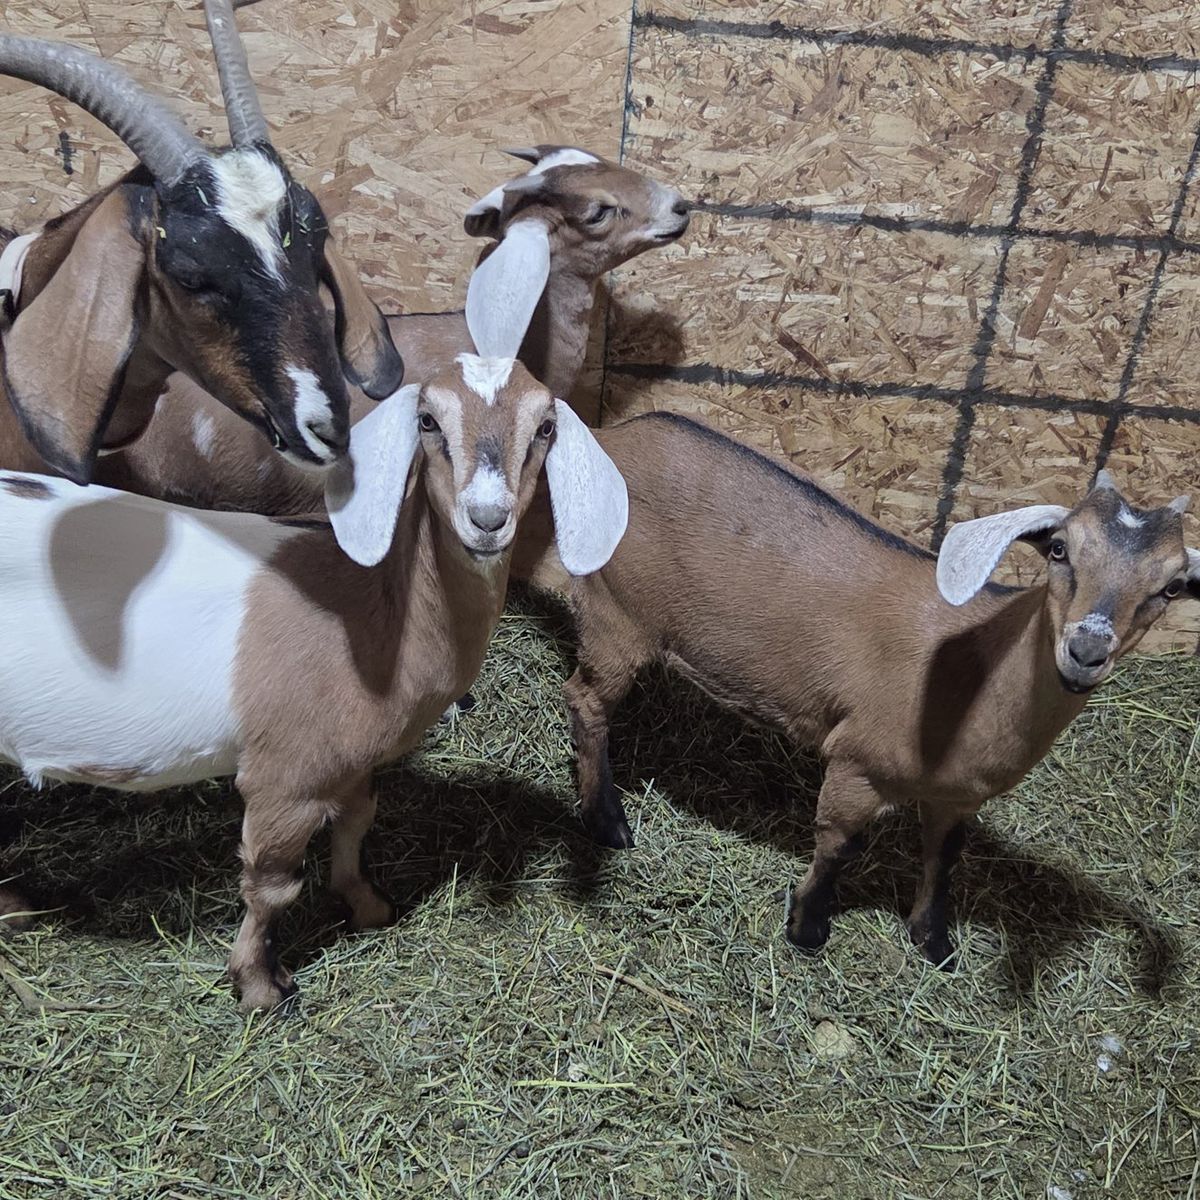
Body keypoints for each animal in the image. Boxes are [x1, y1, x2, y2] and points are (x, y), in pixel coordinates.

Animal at [0, 350, 626, 1009]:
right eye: (428, 421)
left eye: (545, 428)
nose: (487, 519)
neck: (372, 616)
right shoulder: (285, 781)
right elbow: (272, 887)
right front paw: (261, 987)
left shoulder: (350, 761)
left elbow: (355, 826)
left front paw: (368, 906)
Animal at [537, 413, 1199, 966]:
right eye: (1060, 549)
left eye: (1170, 588)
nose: (1086, 651)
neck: (973, 671)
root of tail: (608, 437)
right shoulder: (858, 763)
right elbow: (838, 844)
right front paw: (806, 928)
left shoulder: (957, 797)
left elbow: (944, 857)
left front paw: (933, 941)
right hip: (616, 614)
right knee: (585, 700)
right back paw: (607, 821)